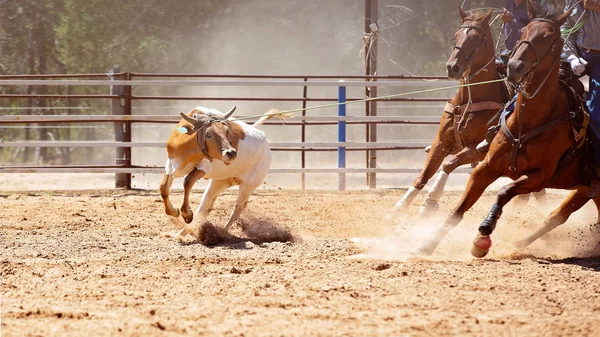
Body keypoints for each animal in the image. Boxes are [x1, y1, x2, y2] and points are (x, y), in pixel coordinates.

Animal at [159, 106, 282, 238]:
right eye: (208, 134)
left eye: (227, 131)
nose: (231, 152)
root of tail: (266, 144)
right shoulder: (171, 163)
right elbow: (163, 188)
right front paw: (174, 212)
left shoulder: (204, 166)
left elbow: (187, 181)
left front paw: (186, 214)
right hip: (220, 181)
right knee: (204, 207)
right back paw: (180, 235)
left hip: (249, 185)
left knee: (238, 208)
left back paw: (222, 232)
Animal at [386, 7, 508, 219]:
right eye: (455, 37)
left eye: (477, 38)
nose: (452, 67)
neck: (468, 101)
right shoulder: (441, 141)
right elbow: (424, 174)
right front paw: (399, 207)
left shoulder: (479, 149)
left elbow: (449, 163)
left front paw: (429, 203)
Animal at [412, 0, 600, 258]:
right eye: (456, 36)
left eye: (549, 37)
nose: (453, 67)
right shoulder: (472, 158)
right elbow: (447, 197)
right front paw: (419, 235)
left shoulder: (538, 175)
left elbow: (502, 190)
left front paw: (482, 235)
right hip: (585, 188)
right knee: (556, 215)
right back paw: (519, 244)